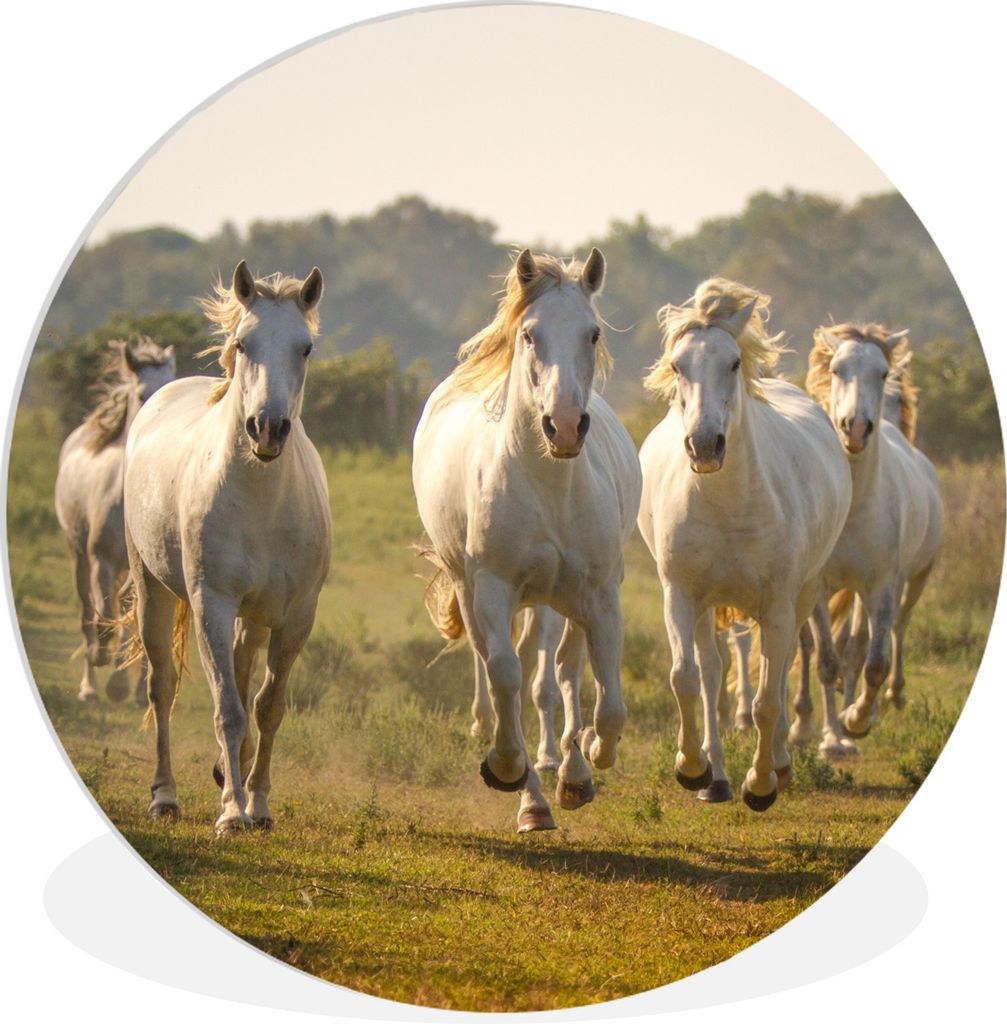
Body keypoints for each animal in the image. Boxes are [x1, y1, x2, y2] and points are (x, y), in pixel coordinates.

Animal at [55, 337, 175, 703]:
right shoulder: (101, 561)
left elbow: (130, 616)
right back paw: (89, 687)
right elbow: (106, 611)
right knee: (86, 612)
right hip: (77, 555)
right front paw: (103, 656)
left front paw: (125, 685)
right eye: (142, 394)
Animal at [123, 261, 330, 835]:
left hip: (255, 615)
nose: (267, 428)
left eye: (305, 347)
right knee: (163, 686)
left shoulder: (296, 615)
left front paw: (257, 803)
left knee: (241, 671)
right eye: (243, 343)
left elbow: (268, 706)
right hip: (152, 587)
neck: (261, 500)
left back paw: (225, 774)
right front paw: (233, 813)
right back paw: (165, 796)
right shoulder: (210, 604)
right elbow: (228, 709)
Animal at [637, 278, 851, 809]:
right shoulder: (680, 594)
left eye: (733, 363)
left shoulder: (777, 604)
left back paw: (778, 764)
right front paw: (691, 768)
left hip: (803, 595)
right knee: (712, 675)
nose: (704, 445)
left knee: (785, 664)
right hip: (706, 607)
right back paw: (715, 779)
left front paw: (760, 784)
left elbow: (767, 699)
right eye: (678, 365)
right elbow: (686, 679)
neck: (728, 508)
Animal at [788, 325, 942, 745]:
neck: (854, 506)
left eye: (883, 373)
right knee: (815, 646)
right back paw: (806, 725)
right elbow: (826, 659)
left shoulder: (881, 586)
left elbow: (872, 661)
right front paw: (830, 739)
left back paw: (884, 700)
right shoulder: (819, 587)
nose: (855, 427)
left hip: (913, 580)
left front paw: (855, 720)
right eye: (836, 370)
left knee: (891, 632)